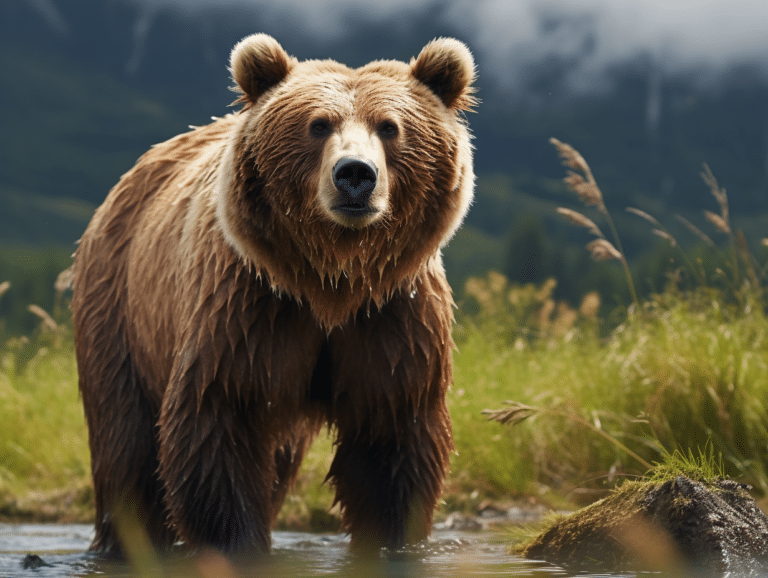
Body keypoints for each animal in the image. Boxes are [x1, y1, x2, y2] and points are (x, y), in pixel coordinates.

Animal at [71, 33, 476, 556]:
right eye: (318, 125)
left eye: (390, 127)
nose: (355, 174)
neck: (330, 282)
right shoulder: (247, 309)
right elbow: (219, 423)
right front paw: (235, 543)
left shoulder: (389, 317)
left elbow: (391, 441)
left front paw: (391, 541)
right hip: (120, 310)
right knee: (126, 447)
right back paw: (125, 540)